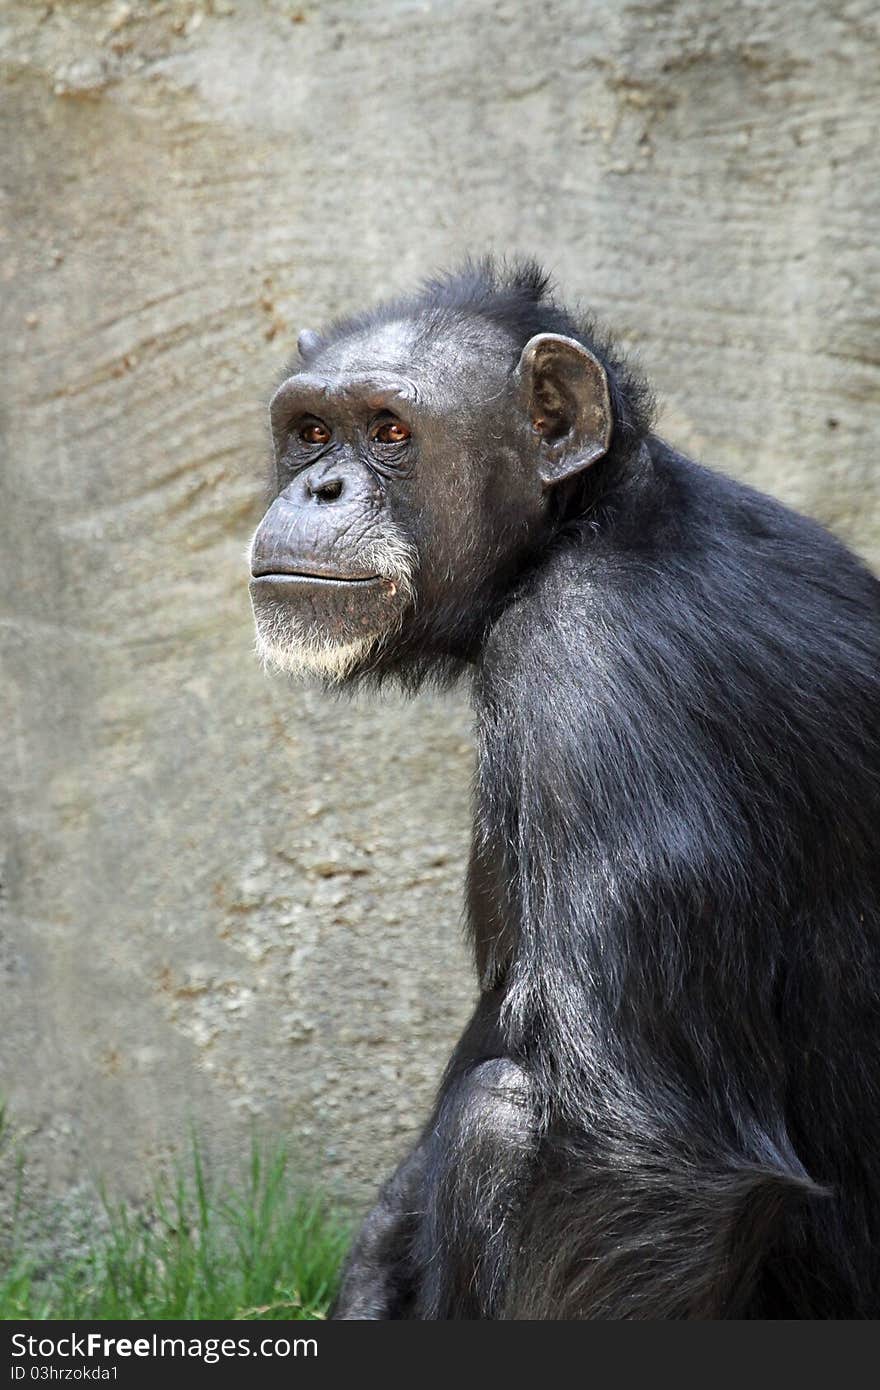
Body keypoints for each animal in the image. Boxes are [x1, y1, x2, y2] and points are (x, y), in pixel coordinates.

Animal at [246, 258, 878, 1312]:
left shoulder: (591, 680)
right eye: (310, 430)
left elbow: (629, 1158)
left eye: (389, 430)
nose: (320, 485)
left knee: (502, 1123)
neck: (585, 525)